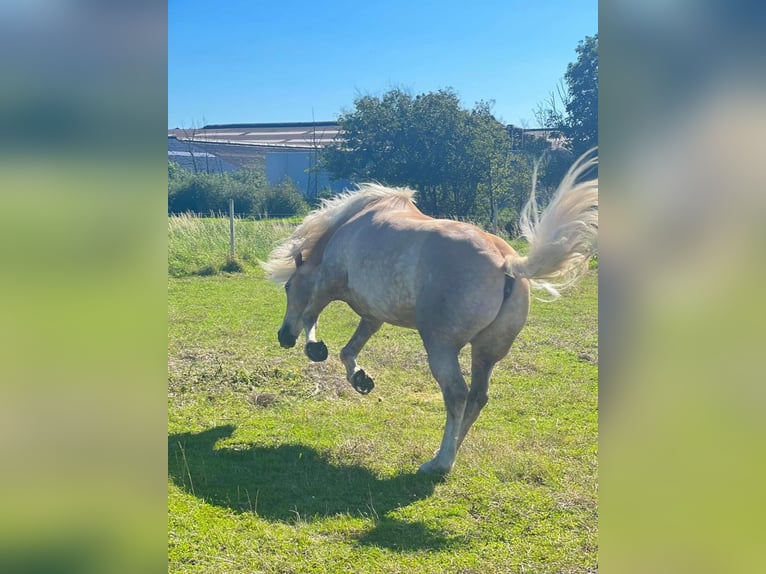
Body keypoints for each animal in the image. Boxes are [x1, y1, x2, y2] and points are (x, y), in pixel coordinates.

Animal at [264, 153, 600, 476]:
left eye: (288, 287)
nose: (283, 337)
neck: (351, 225)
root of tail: (508, 264)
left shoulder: (328, 282)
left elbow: (311, 315)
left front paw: (315, 349)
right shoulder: (373, 316)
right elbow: (349, 350)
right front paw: (361, 379)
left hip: (441, 346)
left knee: (457, 395)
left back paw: (440, 464)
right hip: (486, 353)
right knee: (477, 398)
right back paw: (445, 454)